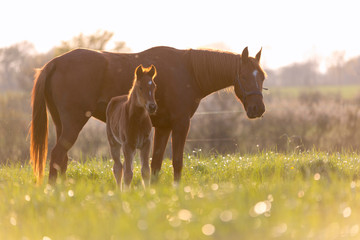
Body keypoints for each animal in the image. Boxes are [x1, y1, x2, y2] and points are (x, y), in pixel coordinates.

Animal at [30, 46, 264, 183]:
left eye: (261, 76)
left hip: (62, 125)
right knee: (57, 155)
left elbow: (155, 165)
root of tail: (54, 63)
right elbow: (177, 162)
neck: (188, 71)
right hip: (73, 124)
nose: (258, 109)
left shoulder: (162, 127)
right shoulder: (181, 124)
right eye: (244, 76)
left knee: (62, 159)